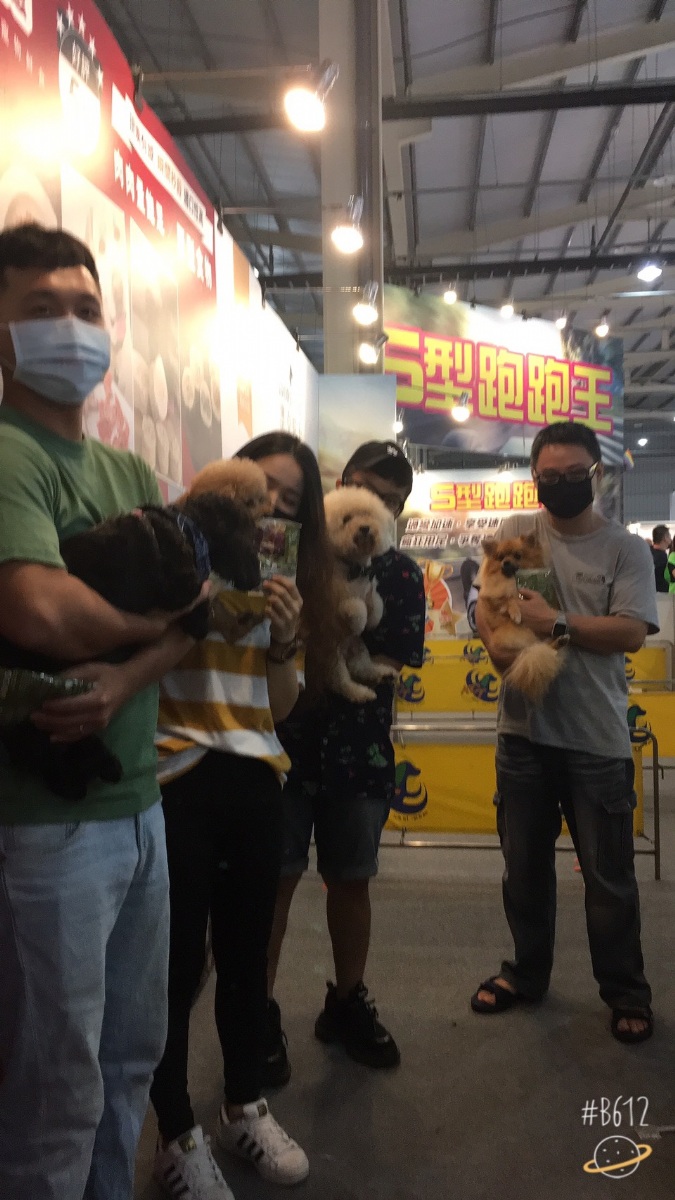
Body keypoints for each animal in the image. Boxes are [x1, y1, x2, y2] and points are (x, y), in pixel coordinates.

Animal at [0, 487, 261, 800]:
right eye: (254, 539)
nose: (259, 579)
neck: (187, 530)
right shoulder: (181, 587)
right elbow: (197, 590)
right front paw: (201, 618)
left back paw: (96, 768)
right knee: (36, 750)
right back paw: (81, 776)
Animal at [324, 487, 398, 703]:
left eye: (368, 514)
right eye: (346, 519)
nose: (365, 528)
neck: (354, 568)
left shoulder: (370, 591)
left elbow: (376, 606)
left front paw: (372, 620)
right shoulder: (337, 604)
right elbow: (357, 608)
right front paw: (359, 623)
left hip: (359, 648)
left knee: (362, 668)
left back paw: (382, 672)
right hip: (333, 657)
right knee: (340, 682)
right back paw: (361, 693)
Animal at [476, 532, 563, 701]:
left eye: (517, 555)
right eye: (500, 557)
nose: (506, 562)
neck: (510, 580)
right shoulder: (495, 599)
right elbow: (508, 599)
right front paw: (515, 612)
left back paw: (561, 640)